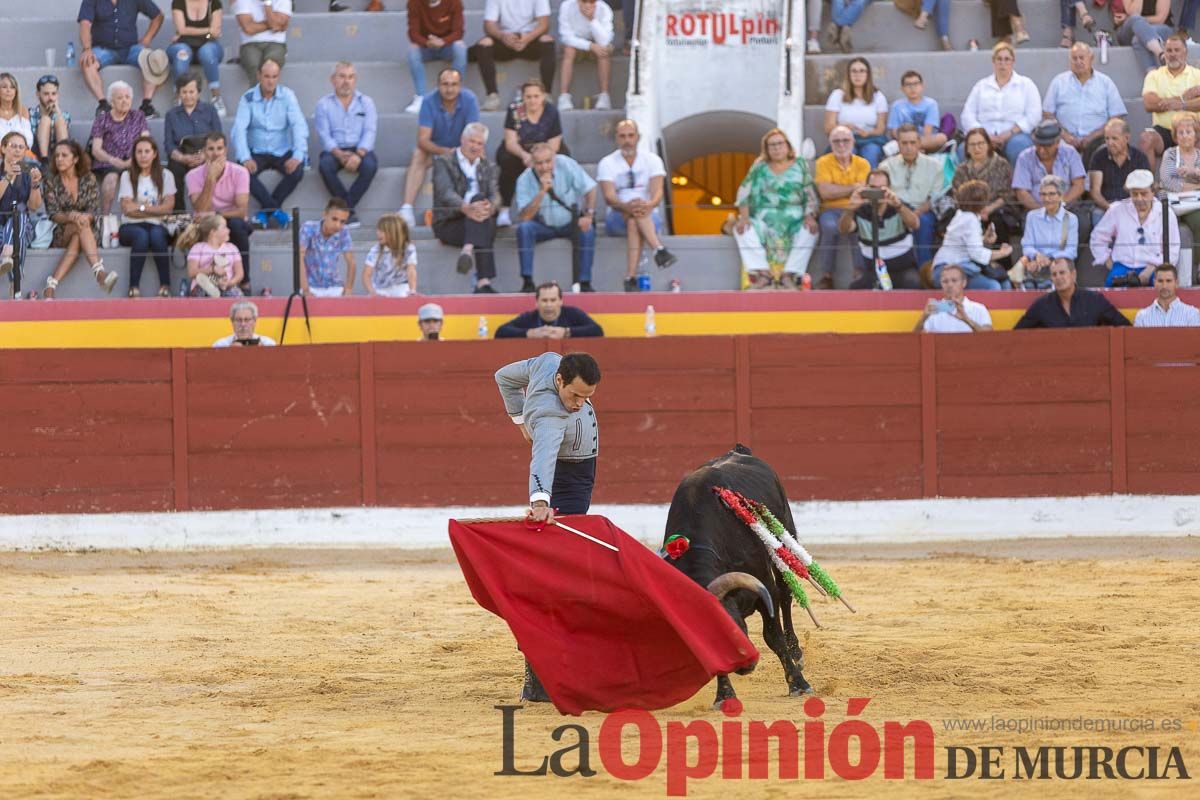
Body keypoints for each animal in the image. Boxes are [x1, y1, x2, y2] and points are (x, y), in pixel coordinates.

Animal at [657, 443, 816, 705]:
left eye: (732, 626)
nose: (745, 666)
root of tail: (739, 451)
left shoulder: (764, 588)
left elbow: (773, 636)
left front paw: (799, 684)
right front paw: (725, 695)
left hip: (783, 534)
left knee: (786, 595)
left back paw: (796, 651)